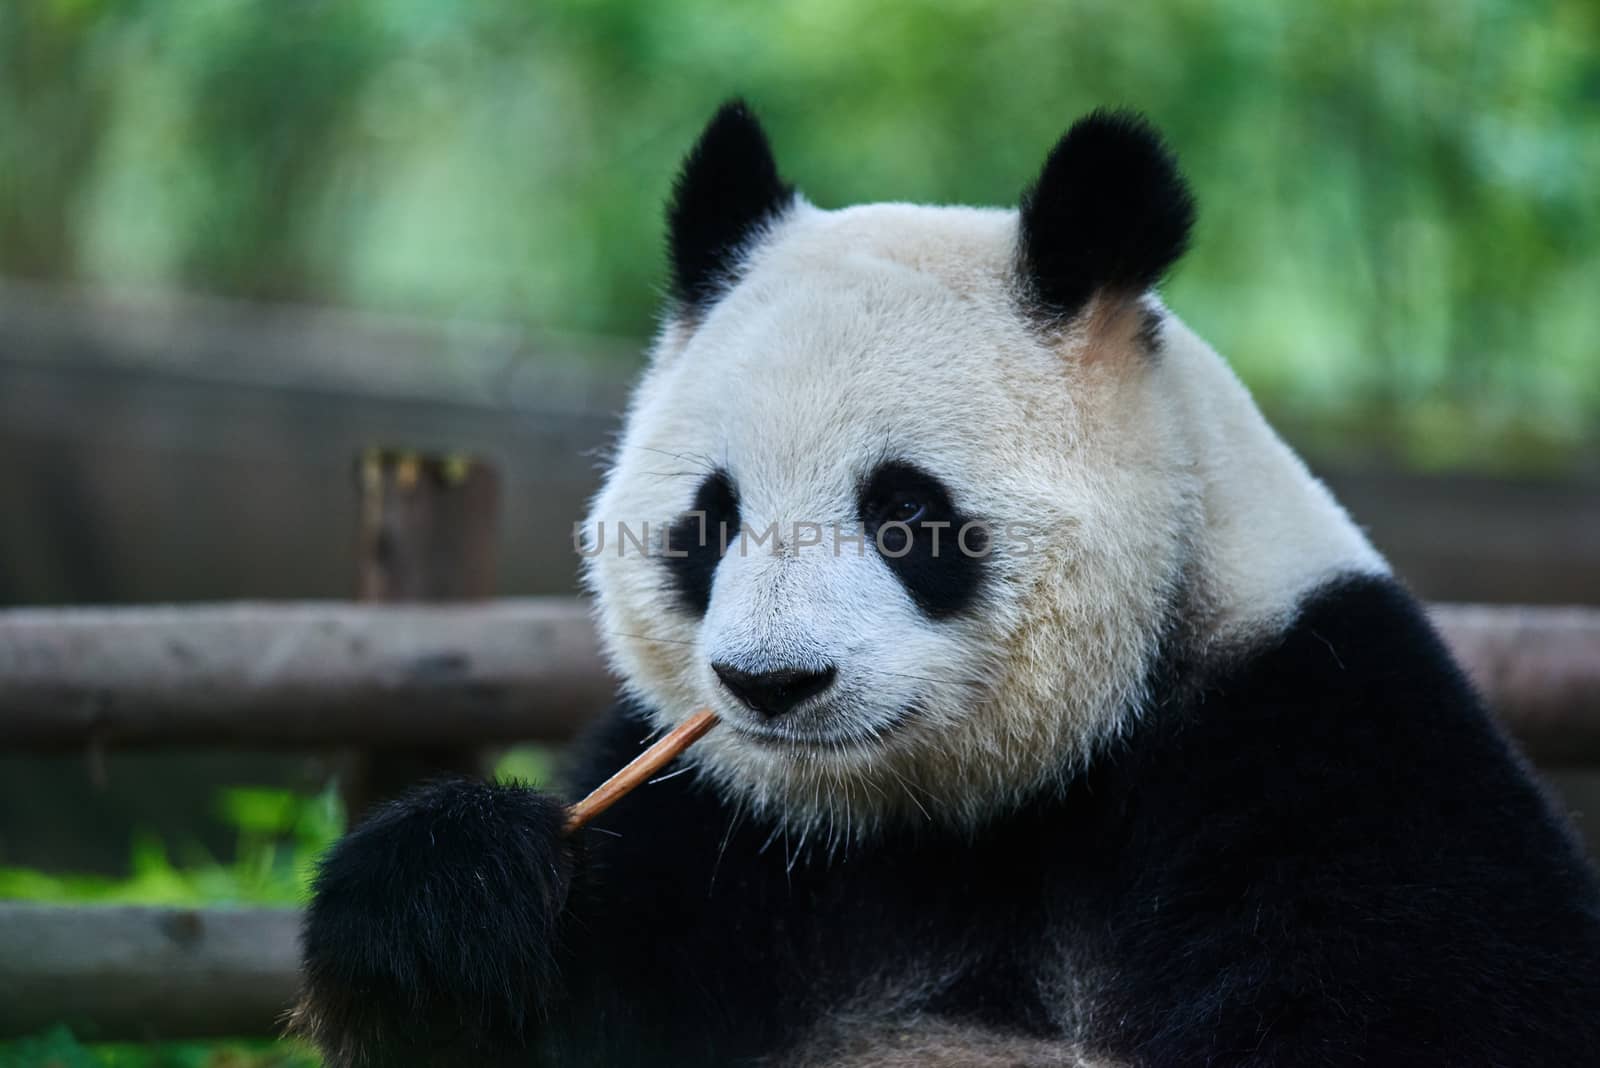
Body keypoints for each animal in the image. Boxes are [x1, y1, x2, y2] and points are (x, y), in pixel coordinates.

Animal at [291, 102, 1600, 1068]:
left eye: (907, 517)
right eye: (709, 523)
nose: (773, 684)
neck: (954, 819)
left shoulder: (1321, 753)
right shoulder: (719, 838)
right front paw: (441, 906)